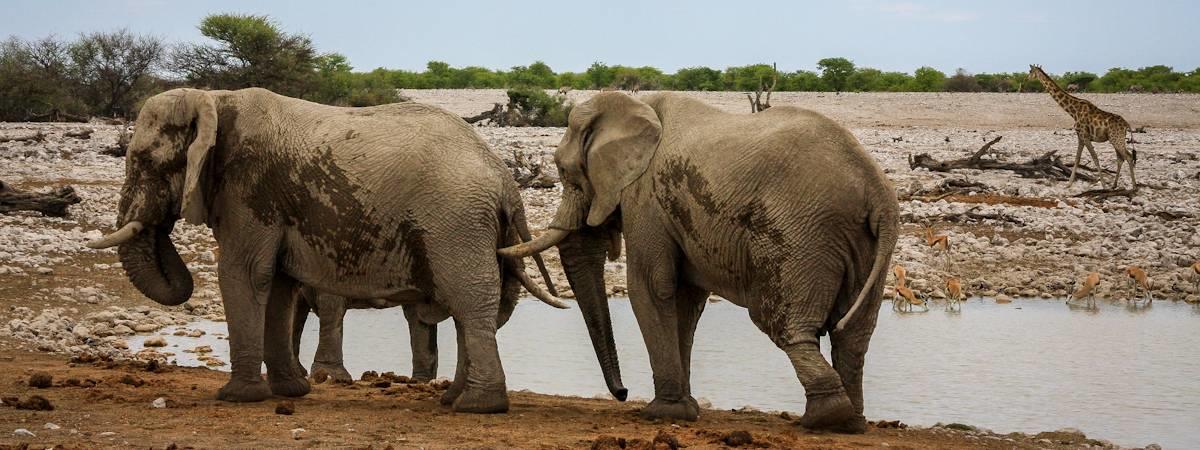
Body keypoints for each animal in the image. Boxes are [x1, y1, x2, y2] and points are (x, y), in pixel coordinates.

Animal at [87, 86, 566, 415]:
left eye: (146, 160)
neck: (215, 99)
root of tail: (505, 179)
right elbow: (279, 285)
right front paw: (290, 393)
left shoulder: (250, 188)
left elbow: (244, 273)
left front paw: (236, 397)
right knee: (475, 305)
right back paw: (452, 399)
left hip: (455, 221)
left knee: (469, 300)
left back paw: (475, 407)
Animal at [499, 92, 902, 434]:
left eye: (565, 173)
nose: (623, 393)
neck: (634, 106)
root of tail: (877, 190)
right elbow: (685, 300)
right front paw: (685, 409)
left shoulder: (646, 197)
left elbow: (651, 287)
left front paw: (662, 413)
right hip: (861, 243)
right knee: (853, 334)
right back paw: (851, 423)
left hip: (802, 234)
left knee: (784, 324)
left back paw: (823, 420)